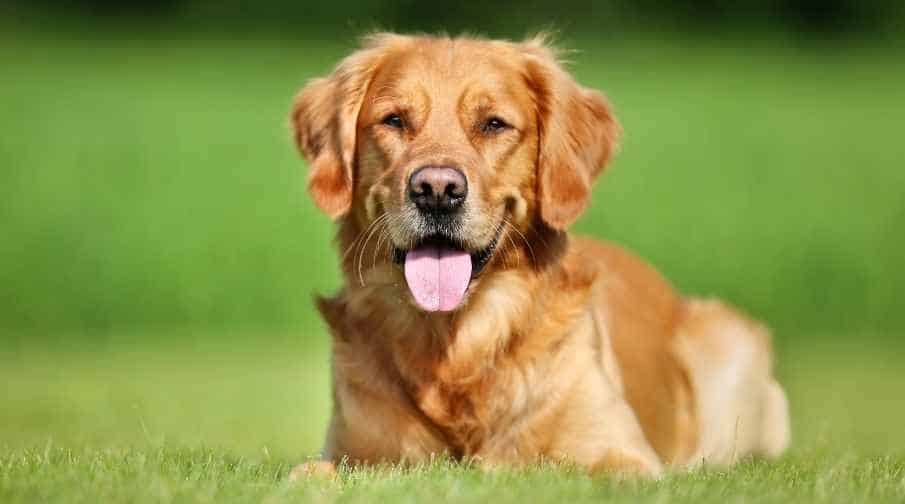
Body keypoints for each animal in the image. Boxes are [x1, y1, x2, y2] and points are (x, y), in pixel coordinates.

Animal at [288, 32, 784, 476]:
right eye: (393, 120)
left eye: (493, 123)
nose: (436, 191)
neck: (458, 345)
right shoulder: (352, 452)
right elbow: (312, 473)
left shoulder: (623, 454)